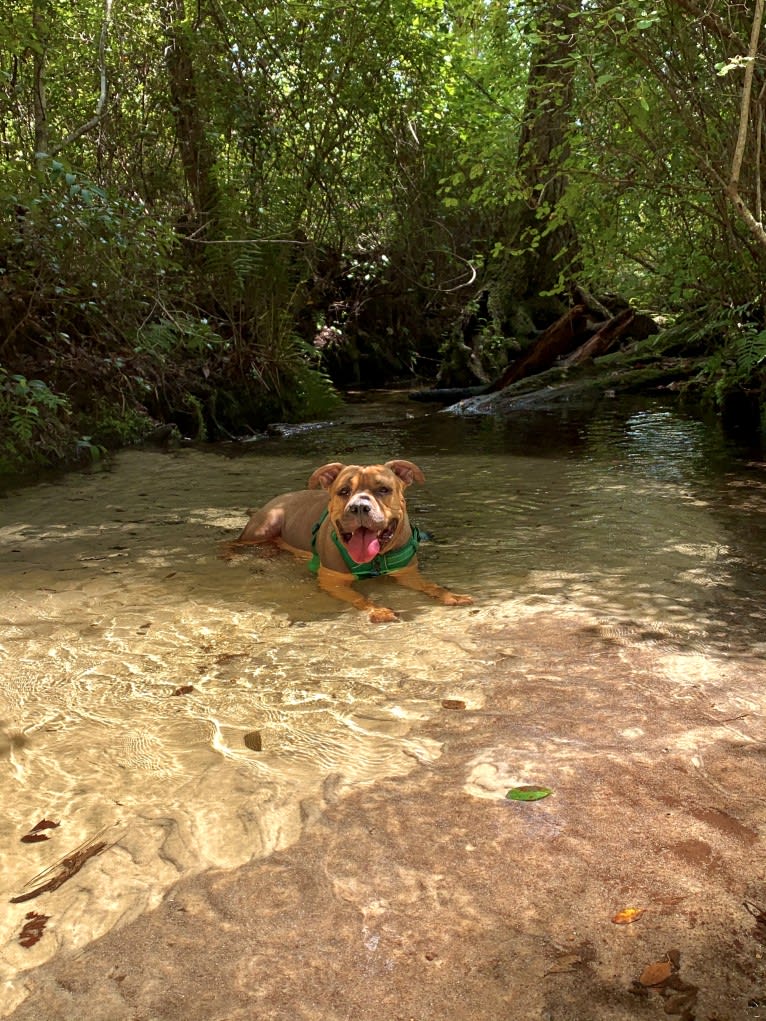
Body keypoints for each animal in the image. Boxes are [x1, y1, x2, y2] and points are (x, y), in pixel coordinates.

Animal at [235, 461, 473, 620]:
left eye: (384, 489)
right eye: (344, 491)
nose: (359, 506)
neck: (375, 560)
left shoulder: (407, 572)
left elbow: (432, 586)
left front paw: (451, 595)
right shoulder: (332, 580)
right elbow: (360, 597)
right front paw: (378, 610)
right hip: (265, 526)